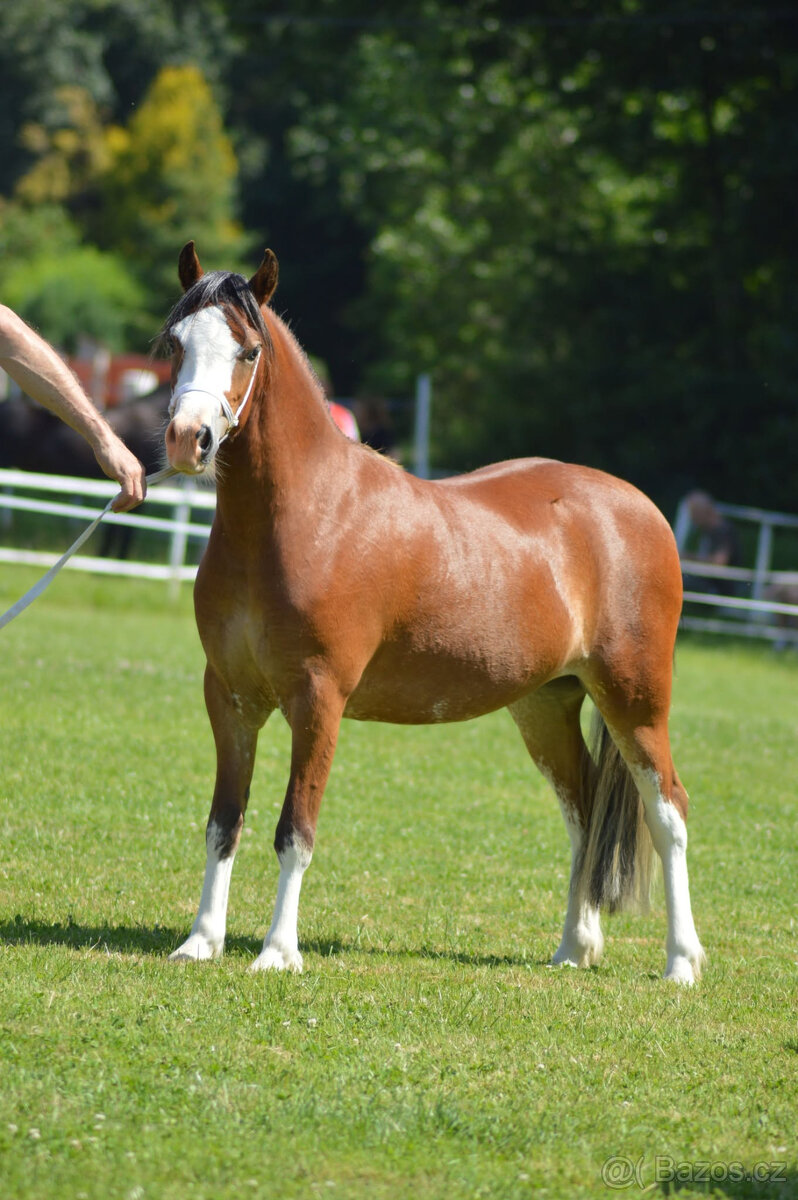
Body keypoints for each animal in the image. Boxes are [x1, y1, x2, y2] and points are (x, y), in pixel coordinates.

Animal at [162, 241, 704, 984]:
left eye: (246, 350)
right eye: (175, 342)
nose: (188, 438)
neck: (305, 515)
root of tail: (641, 509)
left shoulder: (319, 700)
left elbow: (295, 829)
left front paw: (277, 952)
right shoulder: (232, 699)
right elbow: (224, 821)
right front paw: (201, 941)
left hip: (636, 698)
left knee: (668, 810)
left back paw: (681, 962)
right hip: (546, 705)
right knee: (584, 815)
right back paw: (573, 948)